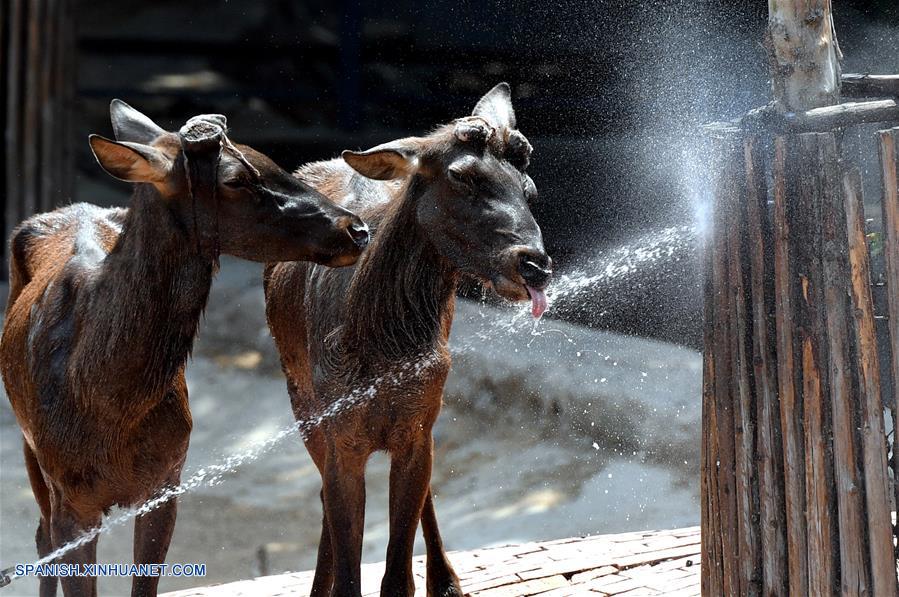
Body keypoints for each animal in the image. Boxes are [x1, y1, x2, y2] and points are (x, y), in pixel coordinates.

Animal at [0, 102, 370, 596]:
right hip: (31, 450)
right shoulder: (72, 499)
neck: (108, 401)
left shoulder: (166, 479)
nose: (357, 228)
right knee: (41, 538)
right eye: (236, 178)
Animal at [264, 84, 552, 596]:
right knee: (321, 493)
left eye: (529, 188)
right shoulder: (338, 431)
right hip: (299, 399)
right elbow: (349, 567)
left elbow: (398, 573)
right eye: (462, 177)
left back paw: (447, 579)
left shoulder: (418, 421)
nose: (536, 264)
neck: (378, 346)